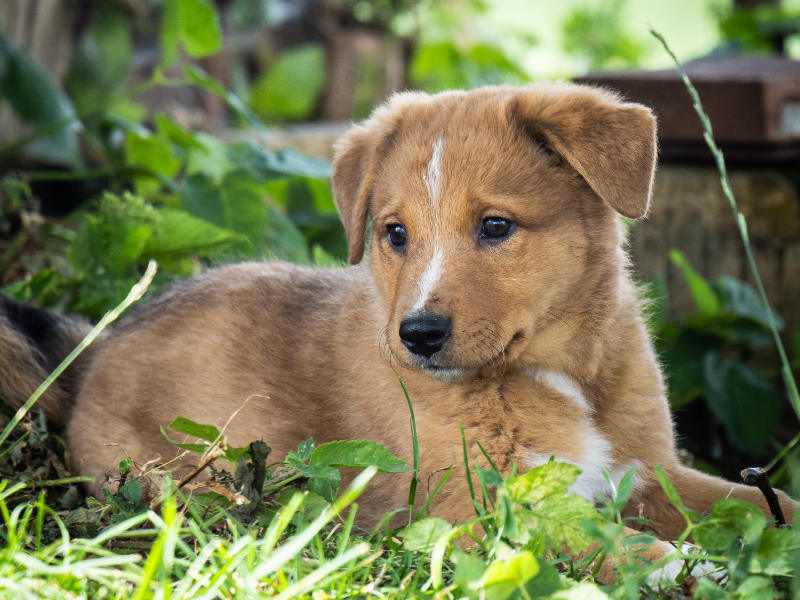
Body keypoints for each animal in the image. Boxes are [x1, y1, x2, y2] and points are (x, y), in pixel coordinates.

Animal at [1, 84, 792, 576]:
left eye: (495, 226)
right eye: (395, 234)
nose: (417, 335)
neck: (560, 376)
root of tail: (95, 349)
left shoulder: (650, 472)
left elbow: (759, 501)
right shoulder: (473, 511)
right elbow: (602, 538)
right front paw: (690, 566)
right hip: (183, 483)